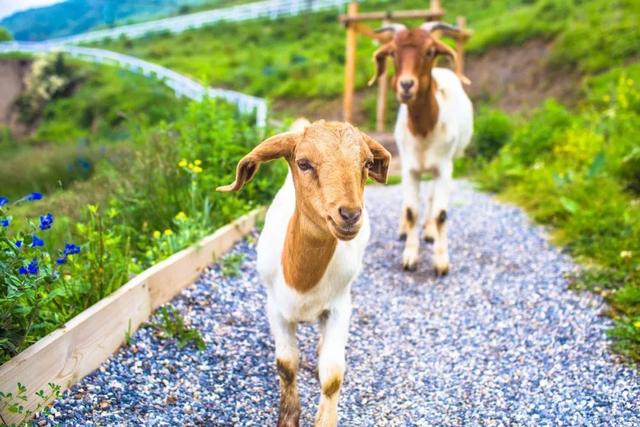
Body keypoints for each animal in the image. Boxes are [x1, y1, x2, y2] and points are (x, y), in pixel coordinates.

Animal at [219, 118, 390, 426]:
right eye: (303, 163)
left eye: (368, 163)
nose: (349, 215)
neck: (302, 282)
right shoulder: (275, 307)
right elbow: (286, 365)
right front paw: (288, 417)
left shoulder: (340, 306)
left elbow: (332, 375)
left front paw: (325, 419)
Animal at [368, 21, 472, 276]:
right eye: (393, 52)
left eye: (430, 51)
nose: (406, 85)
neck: (424, 130)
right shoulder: (409, 168)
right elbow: (410, 211)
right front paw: (410, 256)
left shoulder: (445, 167)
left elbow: (441, 213)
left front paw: (441, 262)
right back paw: (405, 230)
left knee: (433, 198)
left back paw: (430, 231)